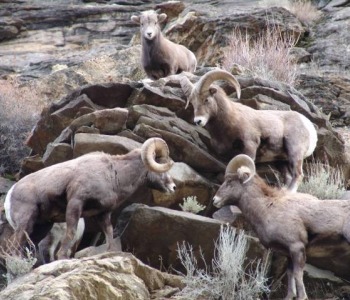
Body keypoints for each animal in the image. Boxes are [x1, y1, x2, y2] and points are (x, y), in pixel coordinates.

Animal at [4, 138, 176, 258]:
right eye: (161, 163)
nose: (173, 187)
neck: (113, 175)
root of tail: (10, 195)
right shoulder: (76, 204)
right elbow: (70, 235)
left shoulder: (103, 214)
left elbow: (109, 234)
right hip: (25, 223)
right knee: (12, 250)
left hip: (40, 228)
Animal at [179, 69, 318, 191]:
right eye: (193, 103)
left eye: (206, 99)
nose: (198, 121)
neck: (229, 122)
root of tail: (308, 126)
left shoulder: (249, 146)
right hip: (281, 161)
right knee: (289, 178)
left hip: (294, 152)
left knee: (298, 175)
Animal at [213, 155, 350, 300]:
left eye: (229, 181)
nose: (215, 200)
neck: (267, 208)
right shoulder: (288, 253)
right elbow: (291, 276)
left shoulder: (297, 247)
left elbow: (298, 275)